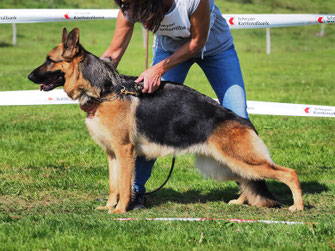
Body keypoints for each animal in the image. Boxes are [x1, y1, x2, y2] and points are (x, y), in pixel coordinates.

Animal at [27, 28, 304, 214]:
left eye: (49, 60)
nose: (29, 76)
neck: (106, 92)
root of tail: (242, 121)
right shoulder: (112, 154)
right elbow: (113, 185)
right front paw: (108, 207)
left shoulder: (125, 152)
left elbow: (125, 186)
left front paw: (120, 211)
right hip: (227, 163)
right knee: (247, 179)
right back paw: (241, 201)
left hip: (241, 159)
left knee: (289, 173)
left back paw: (297, 207)